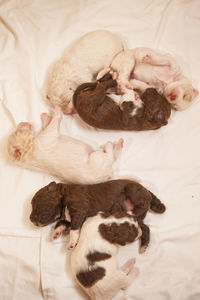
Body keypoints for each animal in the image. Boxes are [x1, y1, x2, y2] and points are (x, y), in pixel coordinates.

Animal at [28, 179, 165, 252]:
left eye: (35, 203)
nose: (30, 219)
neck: (63, 194)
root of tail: (147, 191)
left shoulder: (79, 211)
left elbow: (74, 230)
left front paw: (71, 243)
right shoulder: (69, 218)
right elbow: (60, 223)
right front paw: (55, 233)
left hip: (133, 190)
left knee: (142, 204)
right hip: (139, 218)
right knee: (145, 228)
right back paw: (143, 246)